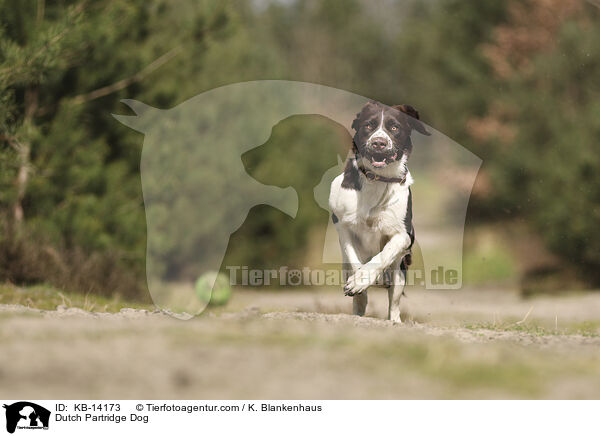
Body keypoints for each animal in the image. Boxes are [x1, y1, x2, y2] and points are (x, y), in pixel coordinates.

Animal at [328, 100, 432, 322]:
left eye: (394, 127)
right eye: (368, 125)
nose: (378, 143)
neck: (377, 179)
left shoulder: (404, 235)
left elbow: (385, 254)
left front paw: (364, 278)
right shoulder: (343, 226)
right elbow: (354, 259)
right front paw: (359, 282)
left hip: (400, 272)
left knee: (394, 304)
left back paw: (394, 320)